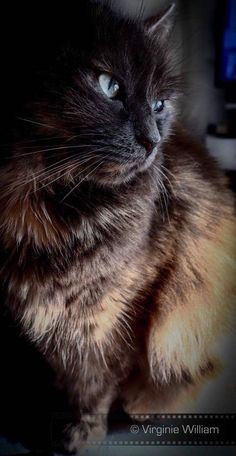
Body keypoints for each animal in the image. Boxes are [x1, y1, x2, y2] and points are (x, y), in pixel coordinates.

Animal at [0, 0, 235, 452]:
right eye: (109, 85)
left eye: (159, 104)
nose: (152, 141)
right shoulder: (51, 311)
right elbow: (69, 374)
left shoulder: (120, 307)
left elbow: (95, 380)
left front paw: (84, 432)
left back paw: (147, 404)